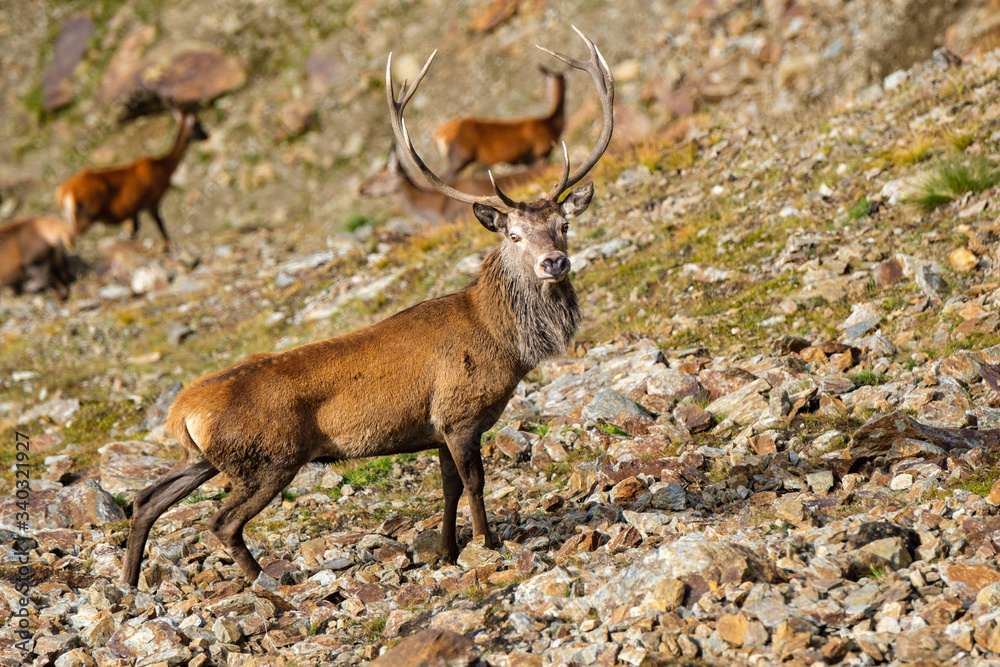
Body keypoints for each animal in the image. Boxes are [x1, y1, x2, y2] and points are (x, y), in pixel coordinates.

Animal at [56, 110, 208, 248]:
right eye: (198, 123)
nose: (207, 135)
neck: (164, 168)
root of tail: (63, 194)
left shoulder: (134, 208)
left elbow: (134, 232)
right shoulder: (151, 200)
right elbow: (161, 227)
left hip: (71, 217)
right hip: (85, 215)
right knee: (69, 239)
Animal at [433, 65, 567, 178]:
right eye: (544, 83)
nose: (542, 96)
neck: (552, 125)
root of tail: (439, 134)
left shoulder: (528, 160)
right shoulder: (540, 154)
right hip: (459, 157)